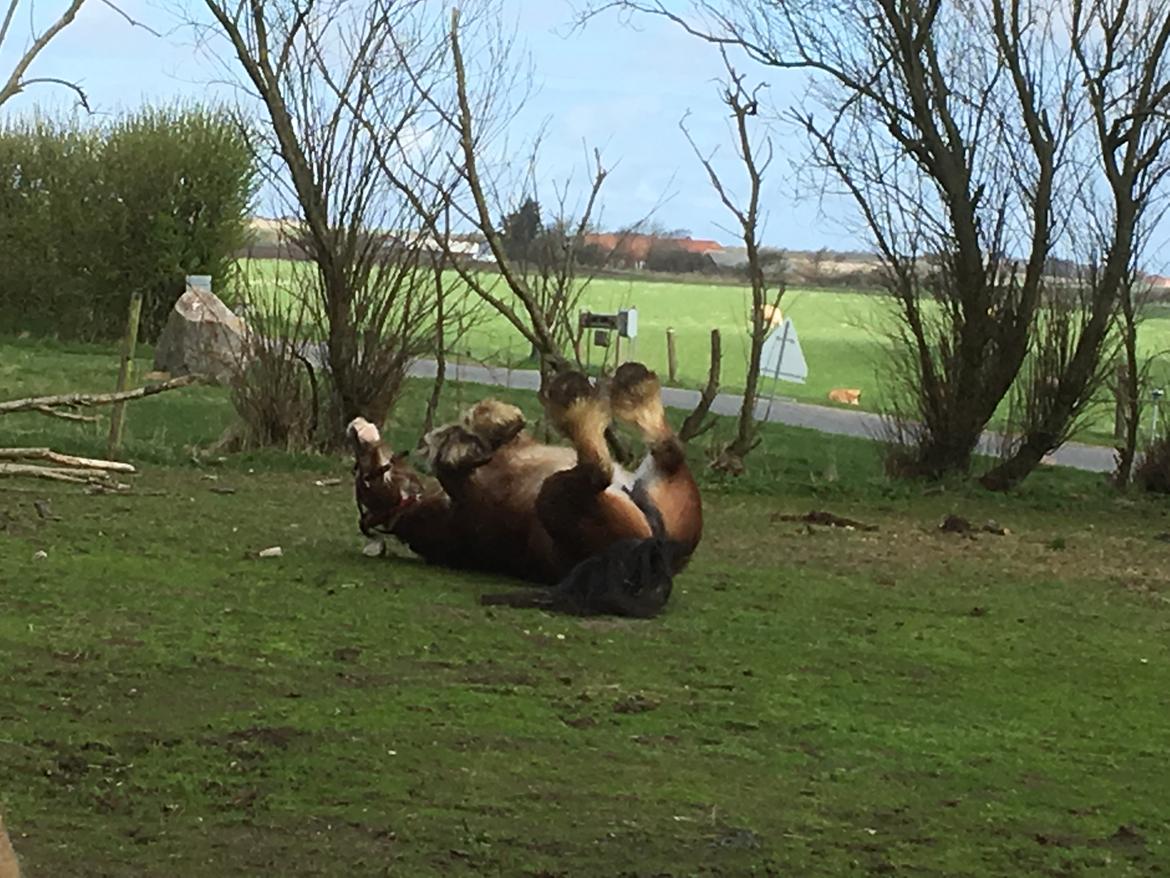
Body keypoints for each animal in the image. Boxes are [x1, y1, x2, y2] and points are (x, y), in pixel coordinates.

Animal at [341, 365, 697, 618]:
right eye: (364, 478)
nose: (355, 428)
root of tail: (656, 556)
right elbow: (458, 454)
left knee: (667, 450)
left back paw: (631, 384)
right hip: (554, 496)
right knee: (602, 468)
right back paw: (576, 395)